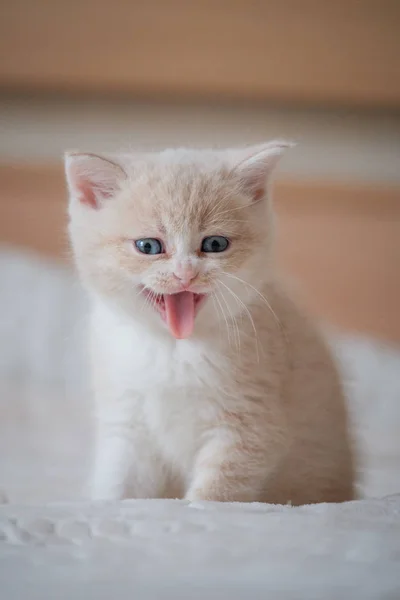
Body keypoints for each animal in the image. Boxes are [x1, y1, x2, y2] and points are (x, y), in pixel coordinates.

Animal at [66, 143, 356, 504]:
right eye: (148, 246)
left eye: (215, 244)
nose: (185, 273)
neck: (172, 349)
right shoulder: (127, 421)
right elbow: (118, 484)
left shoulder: (249, 424)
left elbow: (217, 493)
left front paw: (196, 506)